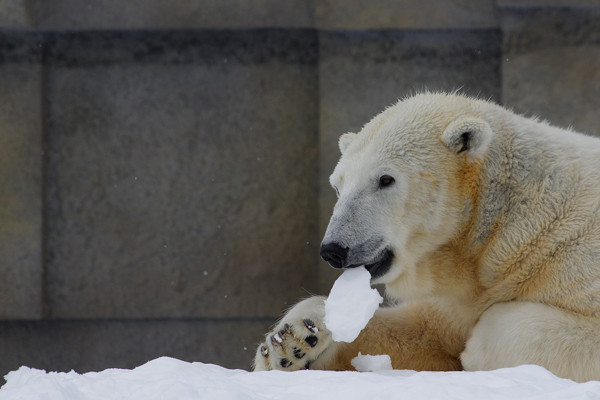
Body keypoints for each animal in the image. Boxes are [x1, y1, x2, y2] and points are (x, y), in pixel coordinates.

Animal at [251, 92, 600, 382]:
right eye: (338, 185)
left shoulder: (574, 256)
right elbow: (420, 330)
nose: (334, 249)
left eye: (385, 179)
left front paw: (474, 351)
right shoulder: (456, 290)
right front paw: (293, 340)